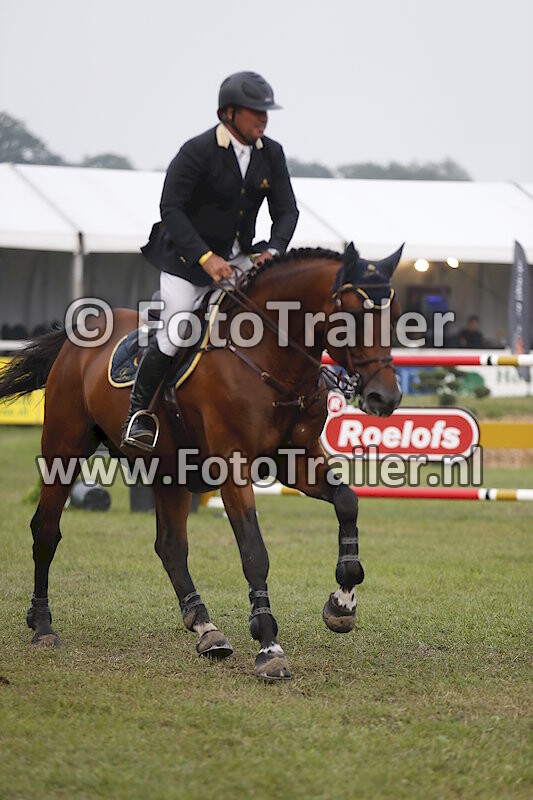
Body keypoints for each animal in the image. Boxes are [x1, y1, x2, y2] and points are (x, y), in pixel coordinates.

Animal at [0, 244, 402, 680]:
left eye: (395, 316)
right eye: (353, 316)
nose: (385, 398)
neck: (269, 360)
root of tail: (81, 330)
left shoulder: (297, 460)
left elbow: (347, 501)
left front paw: (341, 603)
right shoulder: (233, 467)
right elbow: (254, 552)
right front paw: (268, 645)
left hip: (168, 471)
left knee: (171, 547)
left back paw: (206, 629)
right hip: (64, 447)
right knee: (46, 531)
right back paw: (42, 625)